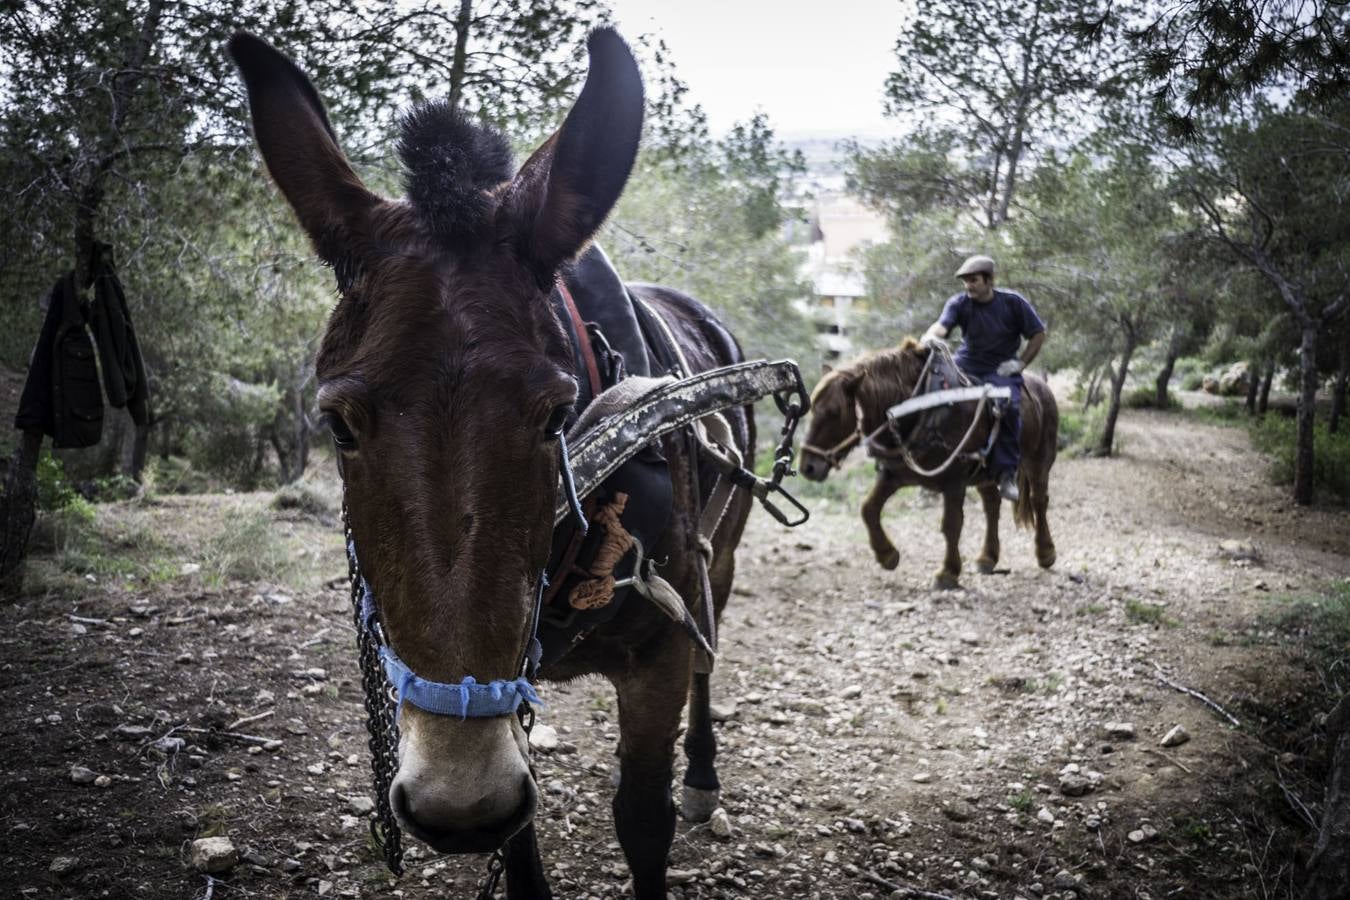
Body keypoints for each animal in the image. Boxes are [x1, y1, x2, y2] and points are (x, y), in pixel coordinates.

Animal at [233, 29, 756, 900]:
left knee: (711, 652)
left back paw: (704, 778)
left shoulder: (658, 658)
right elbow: (519, 847)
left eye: (554, 416)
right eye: (337, 425)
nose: (458, 801)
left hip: (721, 558)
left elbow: (642, 819)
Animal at [799, 340, 1053, 591]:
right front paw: (887, 555)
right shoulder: (894, 475)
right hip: (984, 473)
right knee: (992, 505)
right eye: (811, 408)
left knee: (1039, 500)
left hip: (1038, 461)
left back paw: (1046, 552)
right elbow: (868, 509)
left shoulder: (954, 481)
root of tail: (1042, 385)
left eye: (834, 413)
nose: (807, 467)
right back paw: (987, 557)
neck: (917, 409)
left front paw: (948, 572)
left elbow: (951, 524)